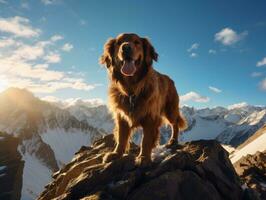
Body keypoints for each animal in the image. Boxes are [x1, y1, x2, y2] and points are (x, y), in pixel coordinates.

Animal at [100, 33, 187, 166]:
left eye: (137, 42)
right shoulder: (121, 116)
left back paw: (173, 140)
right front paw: (116, 154)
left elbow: (145, 140)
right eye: (119, 42)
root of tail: (170, 79)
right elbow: (121, 137)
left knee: (175, 123)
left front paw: (144, 157)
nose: (126, 47)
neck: (132, 90)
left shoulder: (151, 117)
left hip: (170, 110)